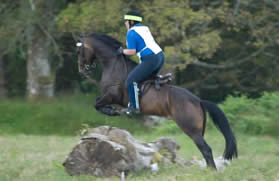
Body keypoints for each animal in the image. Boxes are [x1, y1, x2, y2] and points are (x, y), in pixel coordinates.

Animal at [76, 33, 238, 170]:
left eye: (79, 51)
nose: (82, 70)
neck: (113, 63)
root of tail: (198, 100)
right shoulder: (109, 96)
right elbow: (97, 102)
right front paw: (112, 111)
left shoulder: (112, 95)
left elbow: (97, 104)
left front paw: (112, 111)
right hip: (198, 130)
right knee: (204, 149)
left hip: (190, 129)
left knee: (206, 149)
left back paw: (212, 172)